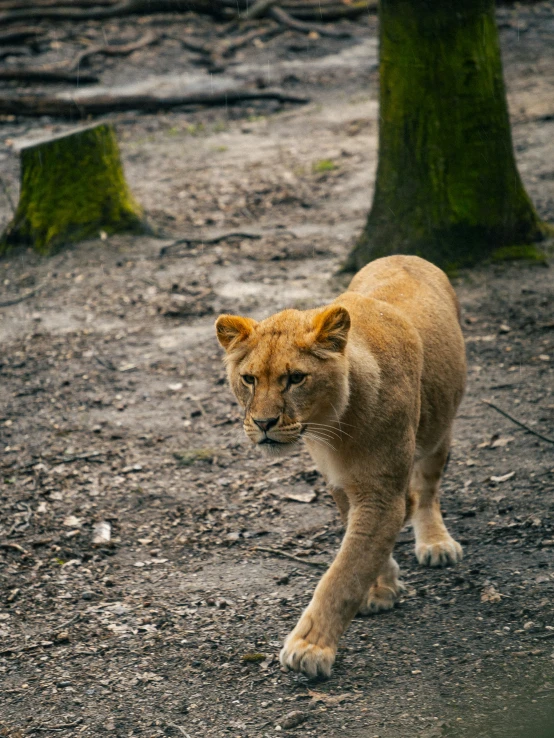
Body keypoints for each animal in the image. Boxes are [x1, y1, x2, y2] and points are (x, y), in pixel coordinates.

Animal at [213, 256, 464, 676]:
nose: (263, 423)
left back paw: (435, 542)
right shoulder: (340, 482)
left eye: (295, 378)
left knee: (426, 490)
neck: (333, 428)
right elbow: (361, 547)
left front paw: (310, 647)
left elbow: (344, 573)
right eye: (248, 379)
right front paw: (381, 587)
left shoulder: (380, 493)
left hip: (440, 425)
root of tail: (405, 256)